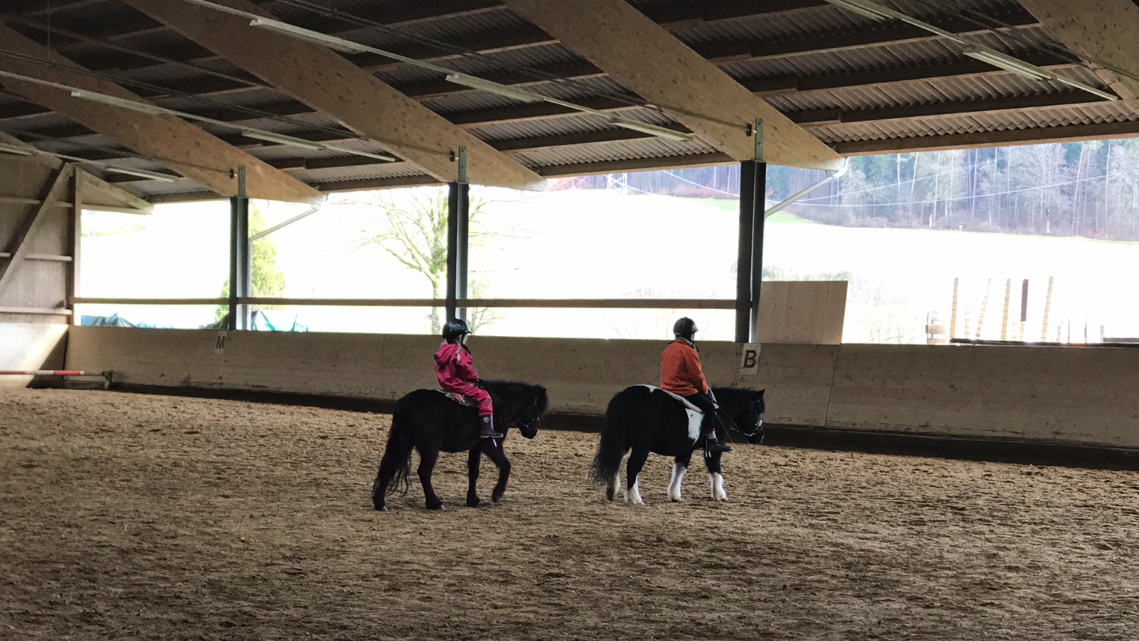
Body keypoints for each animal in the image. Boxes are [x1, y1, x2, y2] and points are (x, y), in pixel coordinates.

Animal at [371, 380, 548, 512]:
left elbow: (474, 472)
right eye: (537, 409)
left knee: (388, 467)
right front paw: (497, 494)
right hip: (430, 448)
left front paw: (473, 500)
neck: (500, 405)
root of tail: (405, 404)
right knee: (424, 472)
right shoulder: (491, 444)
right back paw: (435, 503)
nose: (533, 432)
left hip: (402, 443)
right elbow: (506, 465)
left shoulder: (477, 447)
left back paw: (380, 503)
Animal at [587, 387, 765, 507]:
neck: (718, 410)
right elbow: (715, 469)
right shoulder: (713, 450)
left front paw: (674, 495)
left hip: (623, 441)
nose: (760, 437)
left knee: (616, 460)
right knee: (633, 467)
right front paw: (720, 495)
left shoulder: (685, 449)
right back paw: (634, 498)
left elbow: (680, 469)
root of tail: (626, 396)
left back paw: (612, 490)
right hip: (641, 445)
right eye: (756, 411)